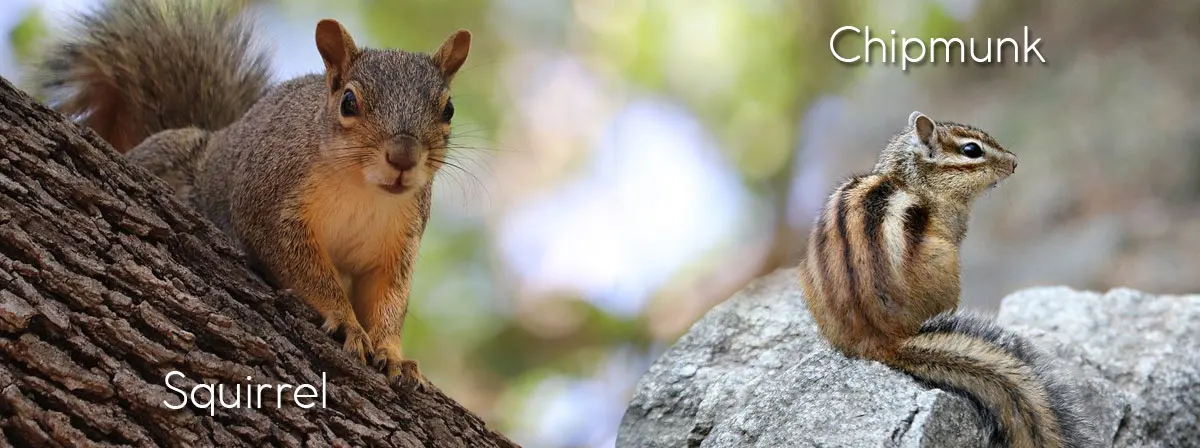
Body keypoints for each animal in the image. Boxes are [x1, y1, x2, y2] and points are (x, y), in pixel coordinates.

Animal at [35, 0, 470, 386]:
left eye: (448, 110)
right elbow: (305, 270)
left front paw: (394, 354)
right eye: (348, 102)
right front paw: (346, 321)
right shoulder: (269, 205)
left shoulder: (396, 243)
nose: (403, 157)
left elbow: (387, 299)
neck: (364, 190)